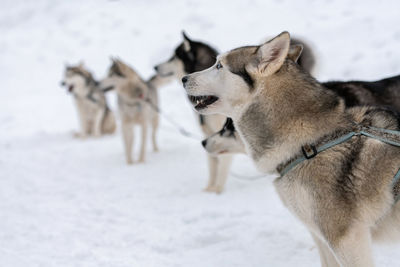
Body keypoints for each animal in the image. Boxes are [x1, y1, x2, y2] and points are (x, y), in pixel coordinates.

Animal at [155, 32, 318, 194]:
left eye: (173, 57)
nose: (155, 67)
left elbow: (221, 170)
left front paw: (216, 193)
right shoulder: (210, 137)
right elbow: (212, 168)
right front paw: (208, 191)